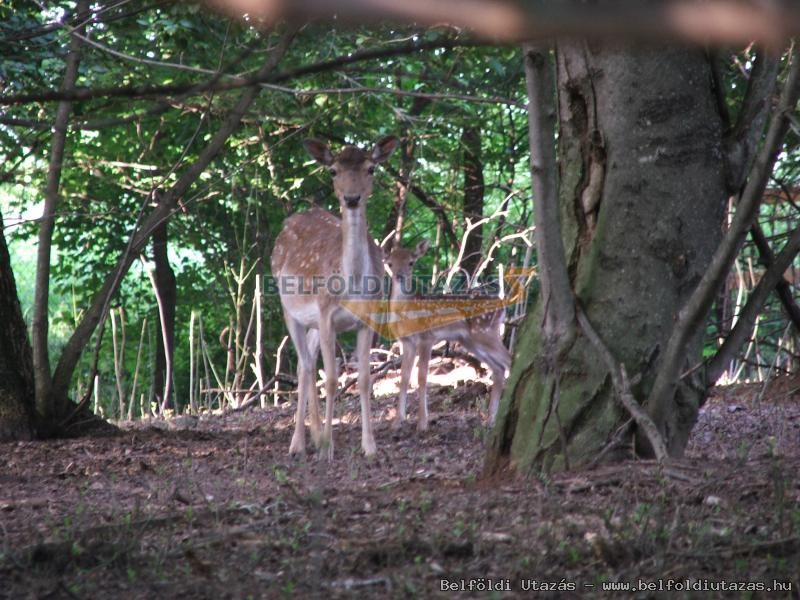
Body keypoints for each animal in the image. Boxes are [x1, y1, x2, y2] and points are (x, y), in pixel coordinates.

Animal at [274, 137, 398, 460]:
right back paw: (299, 443)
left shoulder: (368, 320)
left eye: (371, 168)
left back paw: (314, 435)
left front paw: (369, 446)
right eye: (333, 171)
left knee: (305, 364)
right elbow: (330, 379)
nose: (352, 198)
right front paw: (328, 448)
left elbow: (365, 379)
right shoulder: (326, 314)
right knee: (306, 366)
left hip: (314, 323)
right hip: (290, 310)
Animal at [382, 239, 510, 432]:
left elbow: (422, 377)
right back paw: (490, 421)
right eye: (390, 263)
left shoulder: (426, 337)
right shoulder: (407, 342)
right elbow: (404, 378)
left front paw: (422, 423)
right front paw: (398, 421)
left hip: (485, 332)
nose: (399, 275)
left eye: (411, 262)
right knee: (498, 368)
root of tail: (503, 307)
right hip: (470, 340)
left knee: (511, 358)